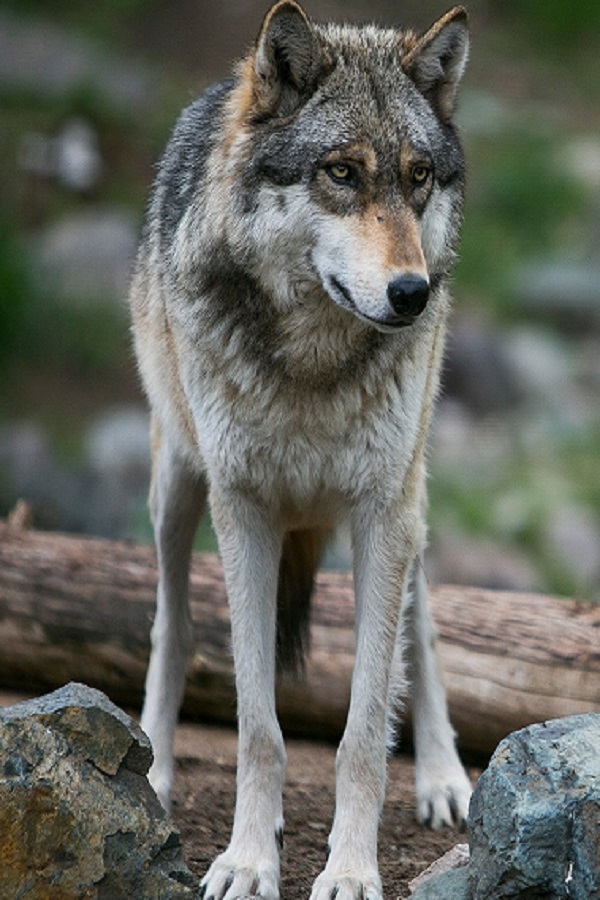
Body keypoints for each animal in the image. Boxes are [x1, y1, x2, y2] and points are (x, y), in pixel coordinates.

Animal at [130, 2, 472, 897]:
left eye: (417, 177)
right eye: (342, 172)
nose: (412, 293)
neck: (313, 365)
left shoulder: (383, 514)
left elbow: (363, 731)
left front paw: (350, 870)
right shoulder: (242, 511)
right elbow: (259, 727)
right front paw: (250, 860)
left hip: (414, 499)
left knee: (424, 636)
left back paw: (445, 777)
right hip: (177, 490)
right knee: (172, 627)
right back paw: (150, 771)